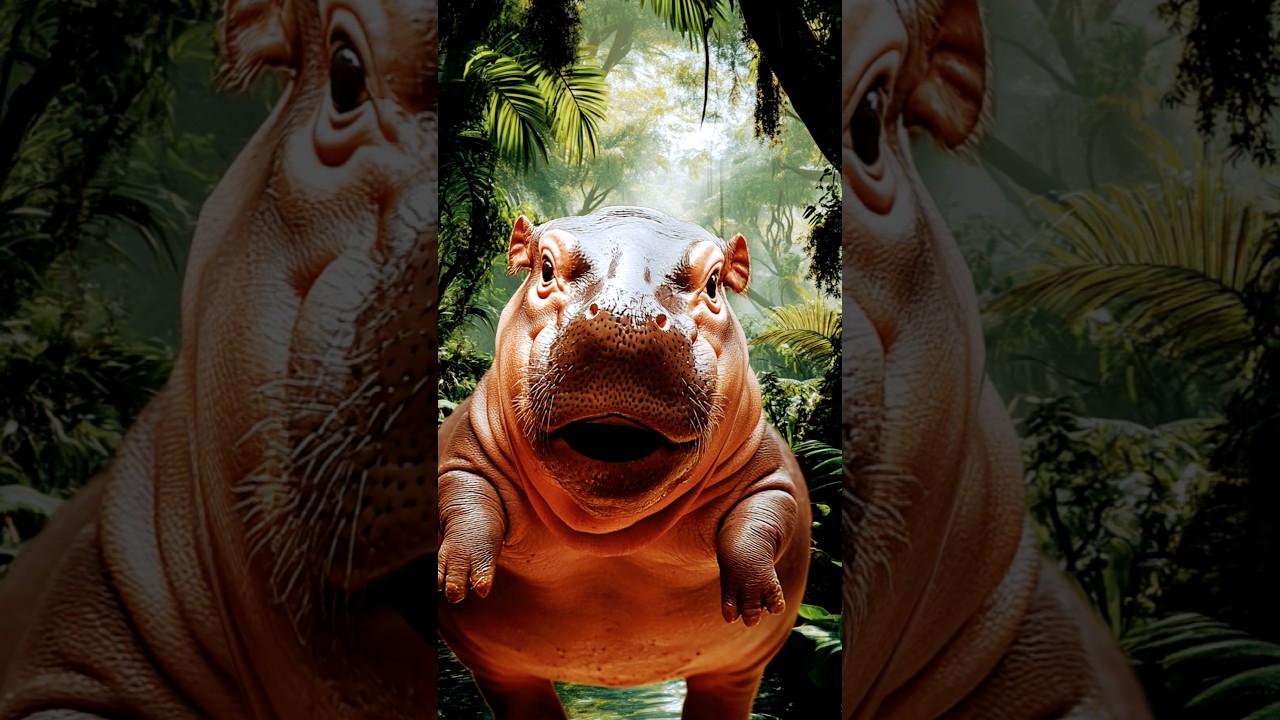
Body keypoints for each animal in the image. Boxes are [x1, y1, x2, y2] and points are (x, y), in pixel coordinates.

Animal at [437, 206, 812, 719]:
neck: (608, 531)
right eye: (545, 267)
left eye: (715, 282)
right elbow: (464, 494)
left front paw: (753, 603)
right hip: (504, 671)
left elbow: (762, 515)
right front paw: (461, 582)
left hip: (733, 672)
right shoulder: (464, 445)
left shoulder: (769, 467)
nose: (626, 316)